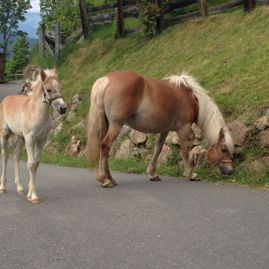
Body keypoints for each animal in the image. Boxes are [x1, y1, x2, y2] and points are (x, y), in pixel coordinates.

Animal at [0, 68, 67, 202]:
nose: (63, 108)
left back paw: (20, 188)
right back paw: (3, 187)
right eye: (49, 89)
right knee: (5, 155)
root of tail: (5, 100)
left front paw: (30, 194)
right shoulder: (30, 139)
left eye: (60, 87)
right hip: (5, 134)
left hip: (20, 138)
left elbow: (36, 164)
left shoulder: (41, 140)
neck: (36, 112)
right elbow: (30, 164)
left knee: (16, 155)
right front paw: (34, 197)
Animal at [87, 69, 233, 186]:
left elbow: (158, 149)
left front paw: (153, 174)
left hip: (108, 125)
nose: (231, 171)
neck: (191, 97)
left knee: (104, 148)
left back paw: (110, 178)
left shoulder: (165, 129)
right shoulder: (183, 128)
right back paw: (104, 179)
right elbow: (185, 150)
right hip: (116, 125)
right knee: (105, 146)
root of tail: (107, 79)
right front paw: (191, 174)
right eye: (224, 149)